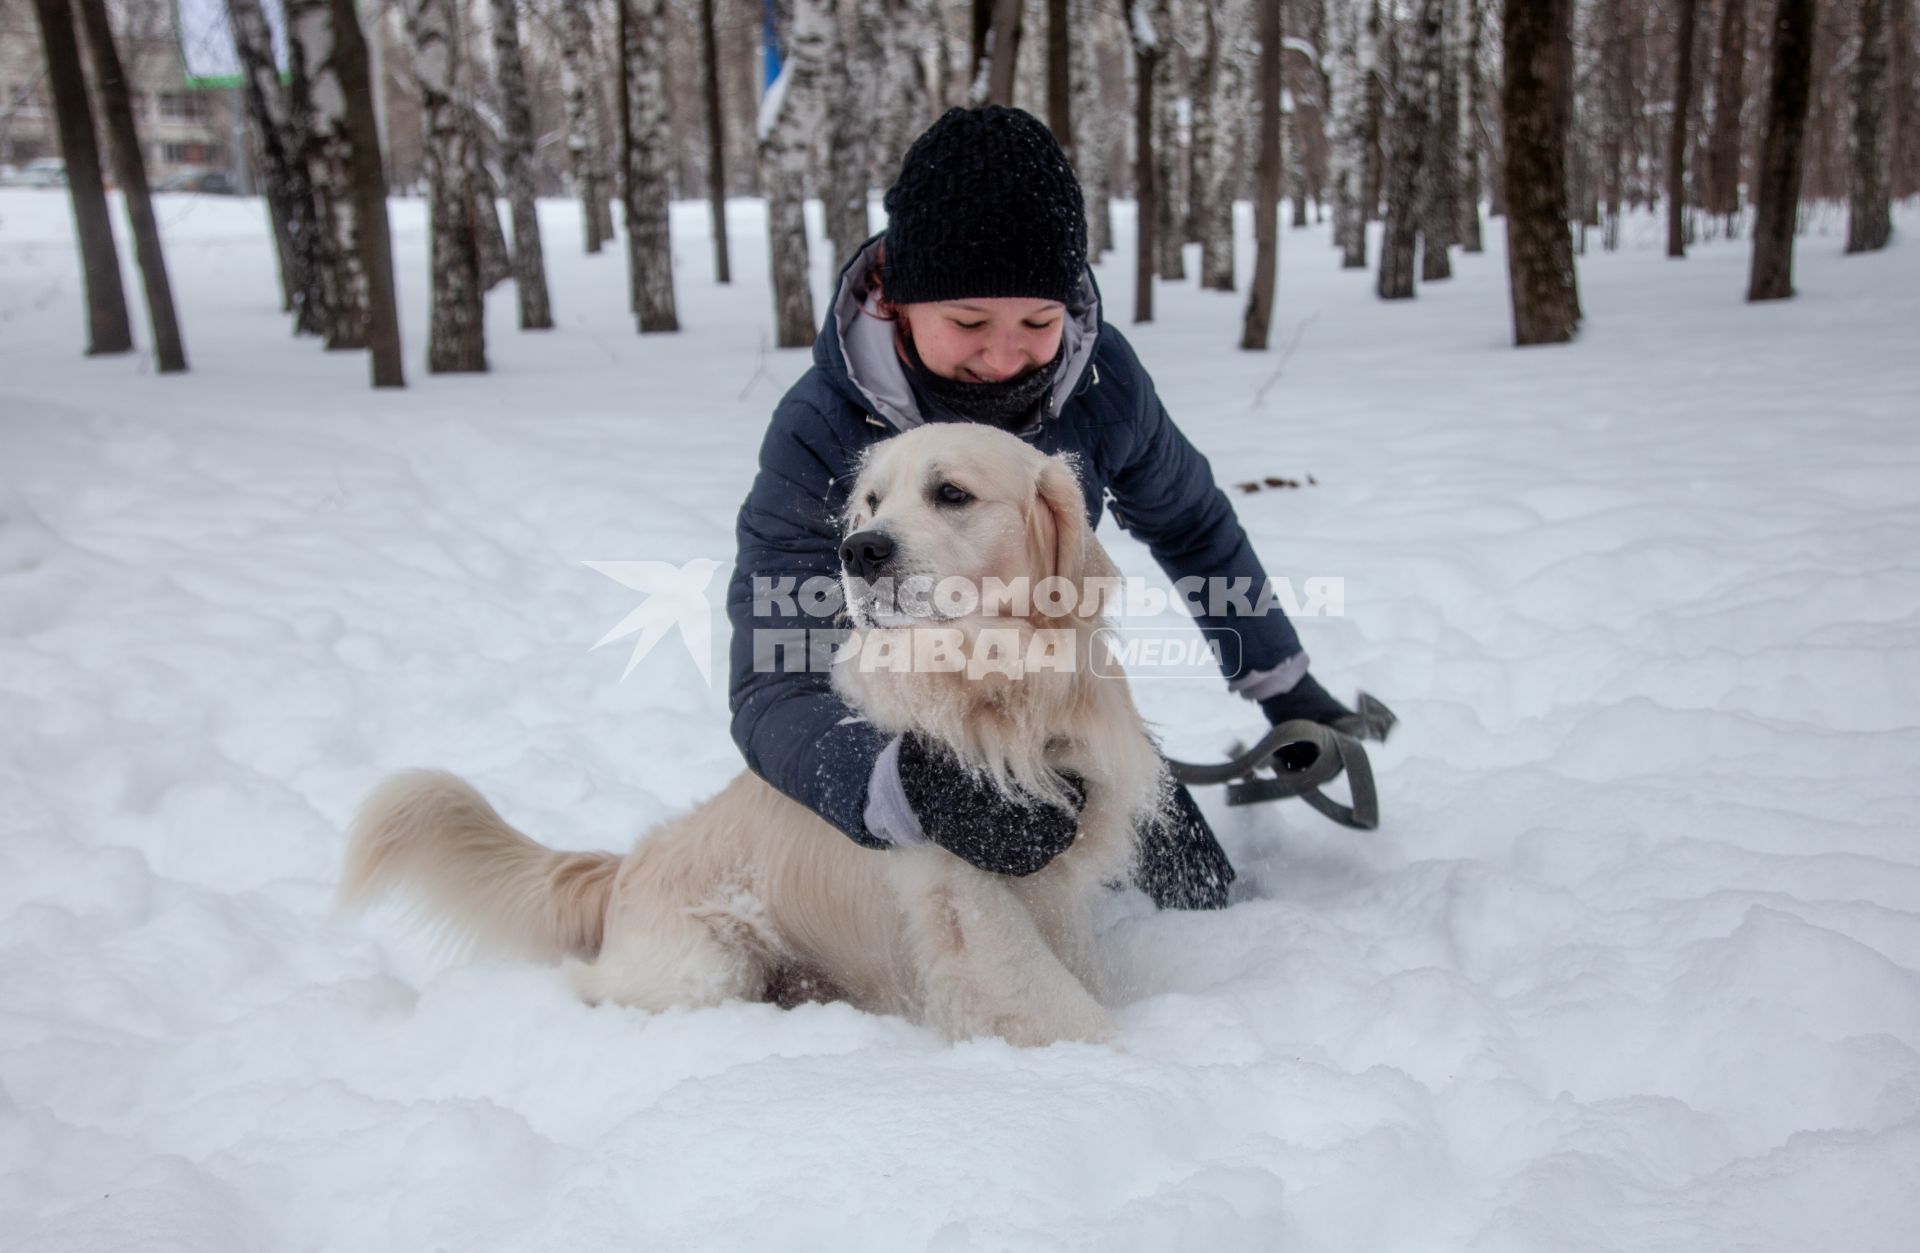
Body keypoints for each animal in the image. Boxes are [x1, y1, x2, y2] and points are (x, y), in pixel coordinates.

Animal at [337, 425, 1159, 1043]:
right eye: (869, 501)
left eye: (950, 492)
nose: (858, 551)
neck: (997, 686)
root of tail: (625, 866)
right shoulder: (961, 886)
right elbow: (1053, 1001)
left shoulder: (1056, 881)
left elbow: (1077, 971)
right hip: (709, 965)